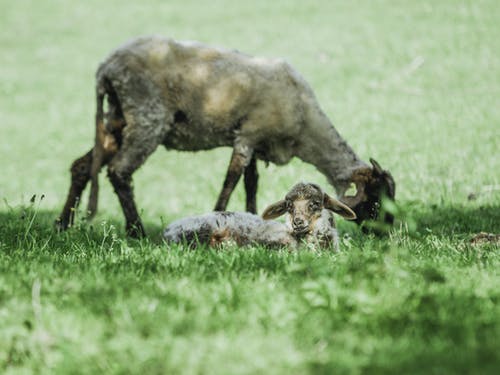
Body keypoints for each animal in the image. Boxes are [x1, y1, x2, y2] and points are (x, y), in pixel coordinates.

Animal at [55, 37, 394, 238]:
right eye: (377, 198)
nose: (387, 233)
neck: (305, 128)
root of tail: (106, 69)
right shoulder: (247, 137)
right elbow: (230, 182)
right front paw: (217, 217)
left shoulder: (256, 142)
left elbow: (250, 184)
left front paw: (256, 217)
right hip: (147, 118)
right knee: (119, 171)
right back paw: (136, 230)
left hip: (116, 121)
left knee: (82, 166)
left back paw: (62, 224)